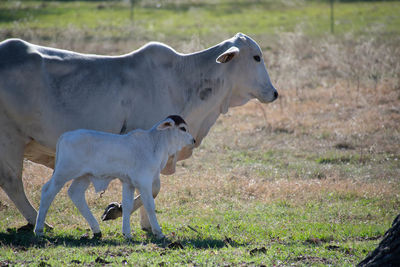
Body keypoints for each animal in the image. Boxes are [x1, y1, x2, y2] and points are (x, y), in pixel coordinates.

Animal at [35, 115, 195, 241]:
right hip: (63, 173)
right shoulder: (143, 182)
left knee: (75, 194)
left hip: (83, 177)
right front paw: (159, 232)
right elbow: (149, 205)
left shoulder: (129, 183)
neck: (154, 143)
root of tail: (65, 136)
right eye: (182, 128)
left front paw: (127, 234)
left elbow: (128, 205)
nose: (193, 140)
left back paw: (96, 231)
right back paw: (39, 230)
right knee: (48, 192)